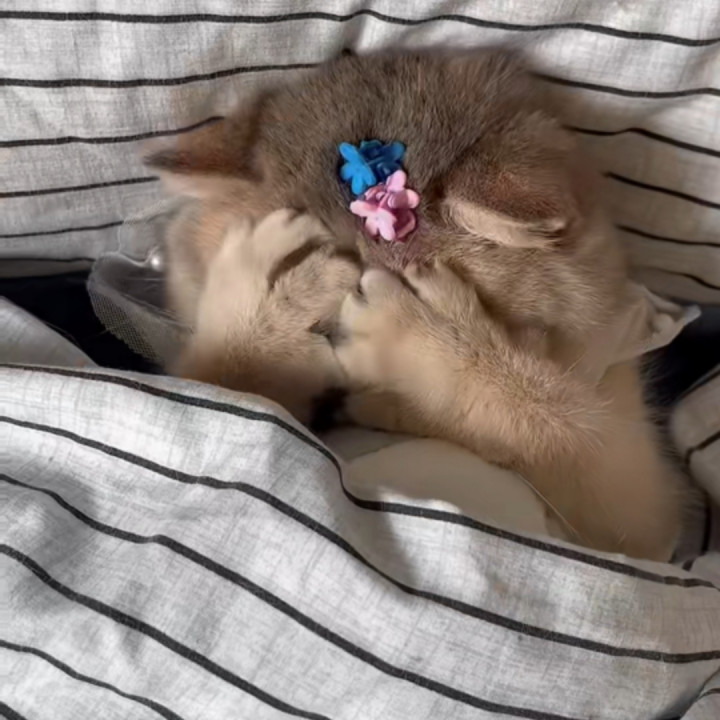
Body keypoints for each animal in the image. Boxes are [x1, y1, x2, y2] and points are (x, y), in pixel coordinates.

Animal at [146, 49, 686, 561]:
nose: (330, 411)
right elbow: (218, 384)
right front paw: (263, 317)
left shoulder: (641, 512)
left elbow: (563, 427)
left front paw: (430, 350)